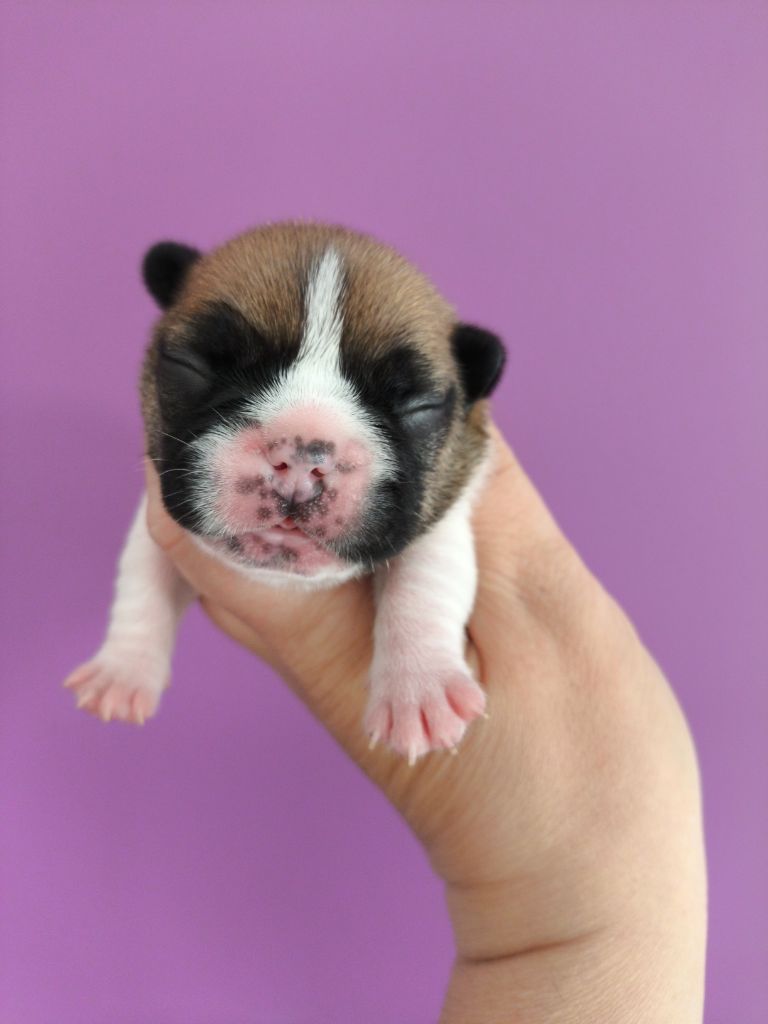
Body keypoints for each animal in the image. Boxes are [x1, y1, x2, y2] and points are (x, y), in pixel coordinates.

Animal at [64, 222, 505, 763]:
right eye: (195, 366)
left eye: (415, 406)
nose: (300, 456)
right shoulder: (158, 512)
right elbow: (142, 577)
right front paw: (122, 669)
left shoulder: (448, 505)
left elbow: (428, 577)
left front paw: (420, 690)